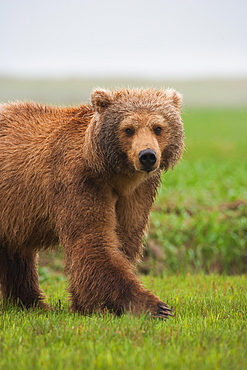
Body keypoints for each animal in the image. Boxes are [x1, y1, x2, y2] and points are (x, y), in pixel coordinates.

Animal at [0, 87, 184, 318]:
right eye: (128, 129)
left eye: (158, 127)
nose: (147, 156)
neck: (116, 176)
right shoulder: (81, 181)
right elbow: (93, 239)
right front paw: (154, 306)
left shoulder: (137, 193)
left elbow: (124, 239)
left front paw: (84, 304)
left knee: (16, 254)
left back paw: (31, 302)